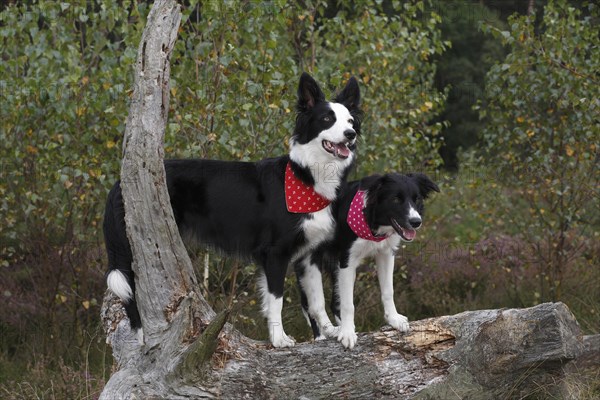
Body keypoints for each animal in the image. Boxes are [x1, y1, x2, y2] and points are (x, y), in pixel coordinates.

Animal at [103, 73, 360, 348]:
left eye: (350, 120)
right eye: (327, 119)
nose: (351, 134)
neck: (307, 177)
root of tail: (119, 182)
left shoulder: (308, 255)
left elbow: (316, 300)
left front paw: (329, 331)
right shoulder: (275, 253)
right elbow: (277, 300)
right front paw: (278, 339)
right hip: (134, 245)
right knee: (131, 290)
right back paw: (141, 336)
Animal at [294, 173, 438, 348]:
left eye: (417, 199)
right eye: (396, 199)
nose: (416, 222)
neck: (371, 222)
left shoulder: (385, 254)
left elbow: (388, 291)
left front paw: (393, 319)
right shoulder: (347, 261)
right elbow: (348, 304)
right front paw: (347, 333)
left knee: (333, 303)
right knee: (309, 304)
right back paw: (321, 337)